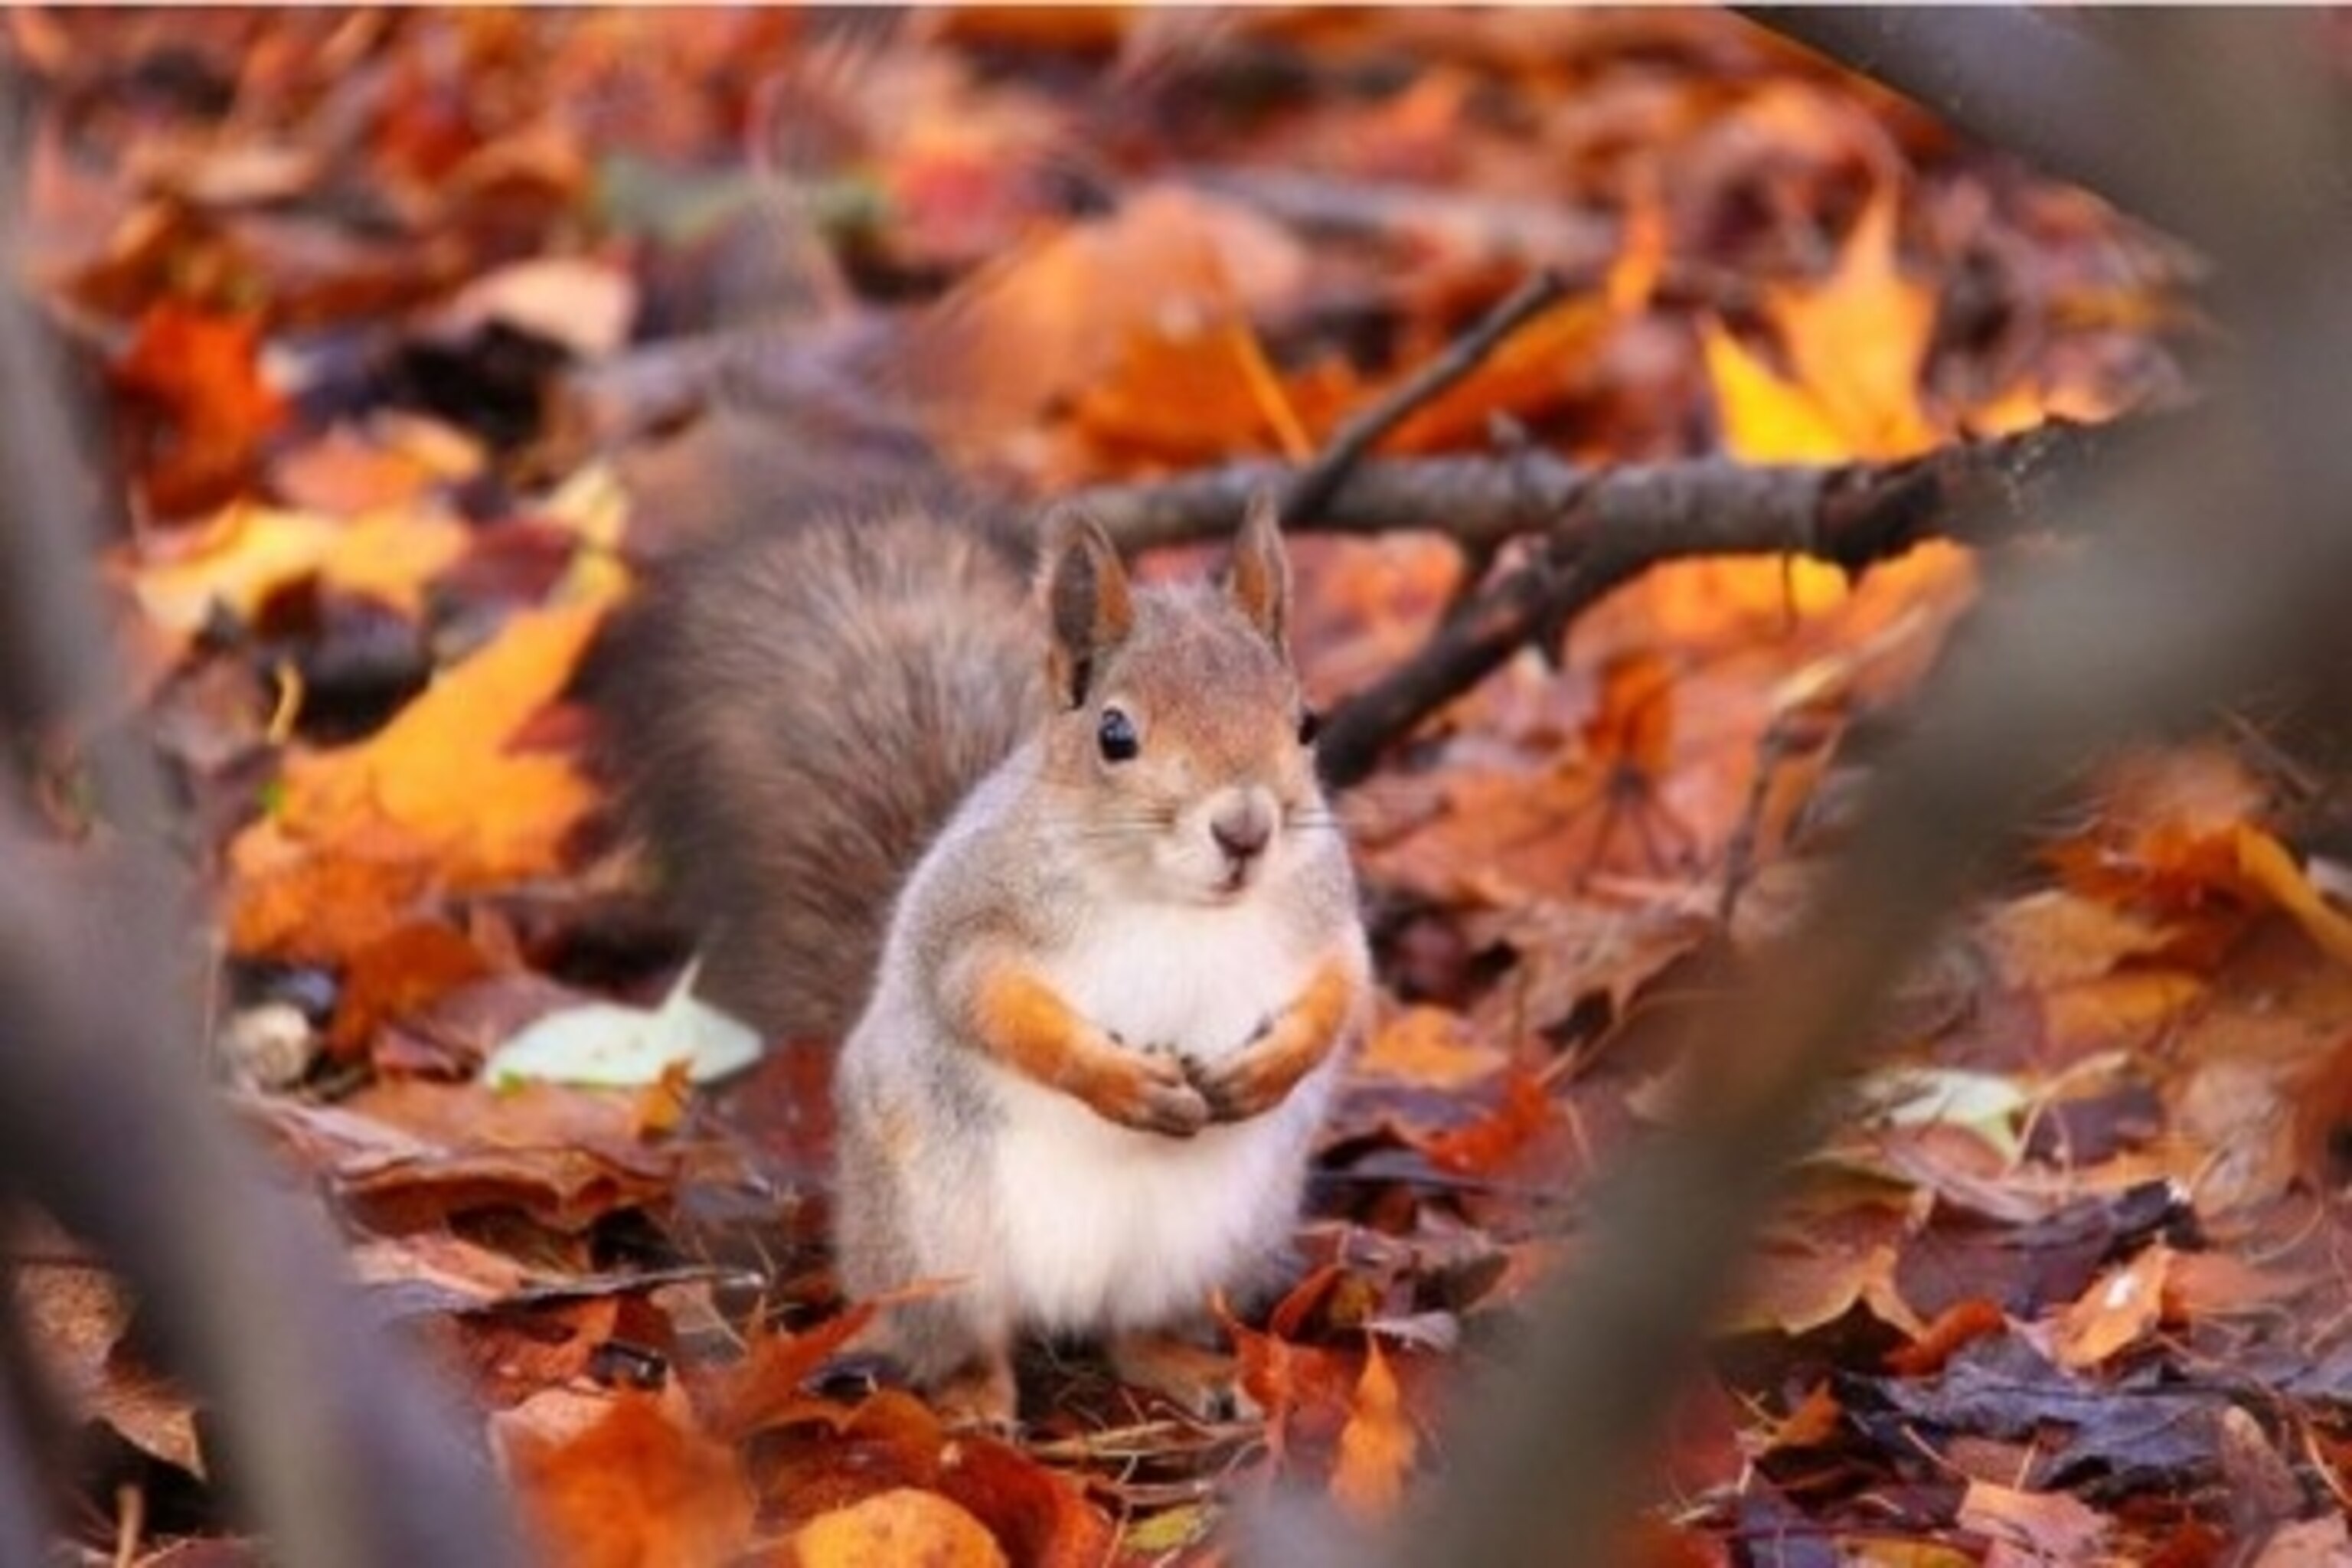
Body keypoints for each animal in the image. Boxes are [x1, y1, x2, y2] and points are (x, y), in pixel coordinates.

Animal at [598, 481, 1373, 1427]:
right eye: (1116, 734)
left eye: (1306, 723)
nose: (1247, 829)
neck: (1176, 903)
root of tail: (1067, 1300)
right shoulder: (971, 922)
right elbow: (988, 1003)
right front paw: (1117, 1079)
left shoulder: (1325, 917)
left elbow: (1341, 992)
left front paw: (1266, 1072)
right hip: (934, 1243)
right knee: (963, 1339)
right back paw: (974, 1399)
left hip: (1212, 1244)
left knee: (1129, 1331)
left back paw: (1190, 1365)